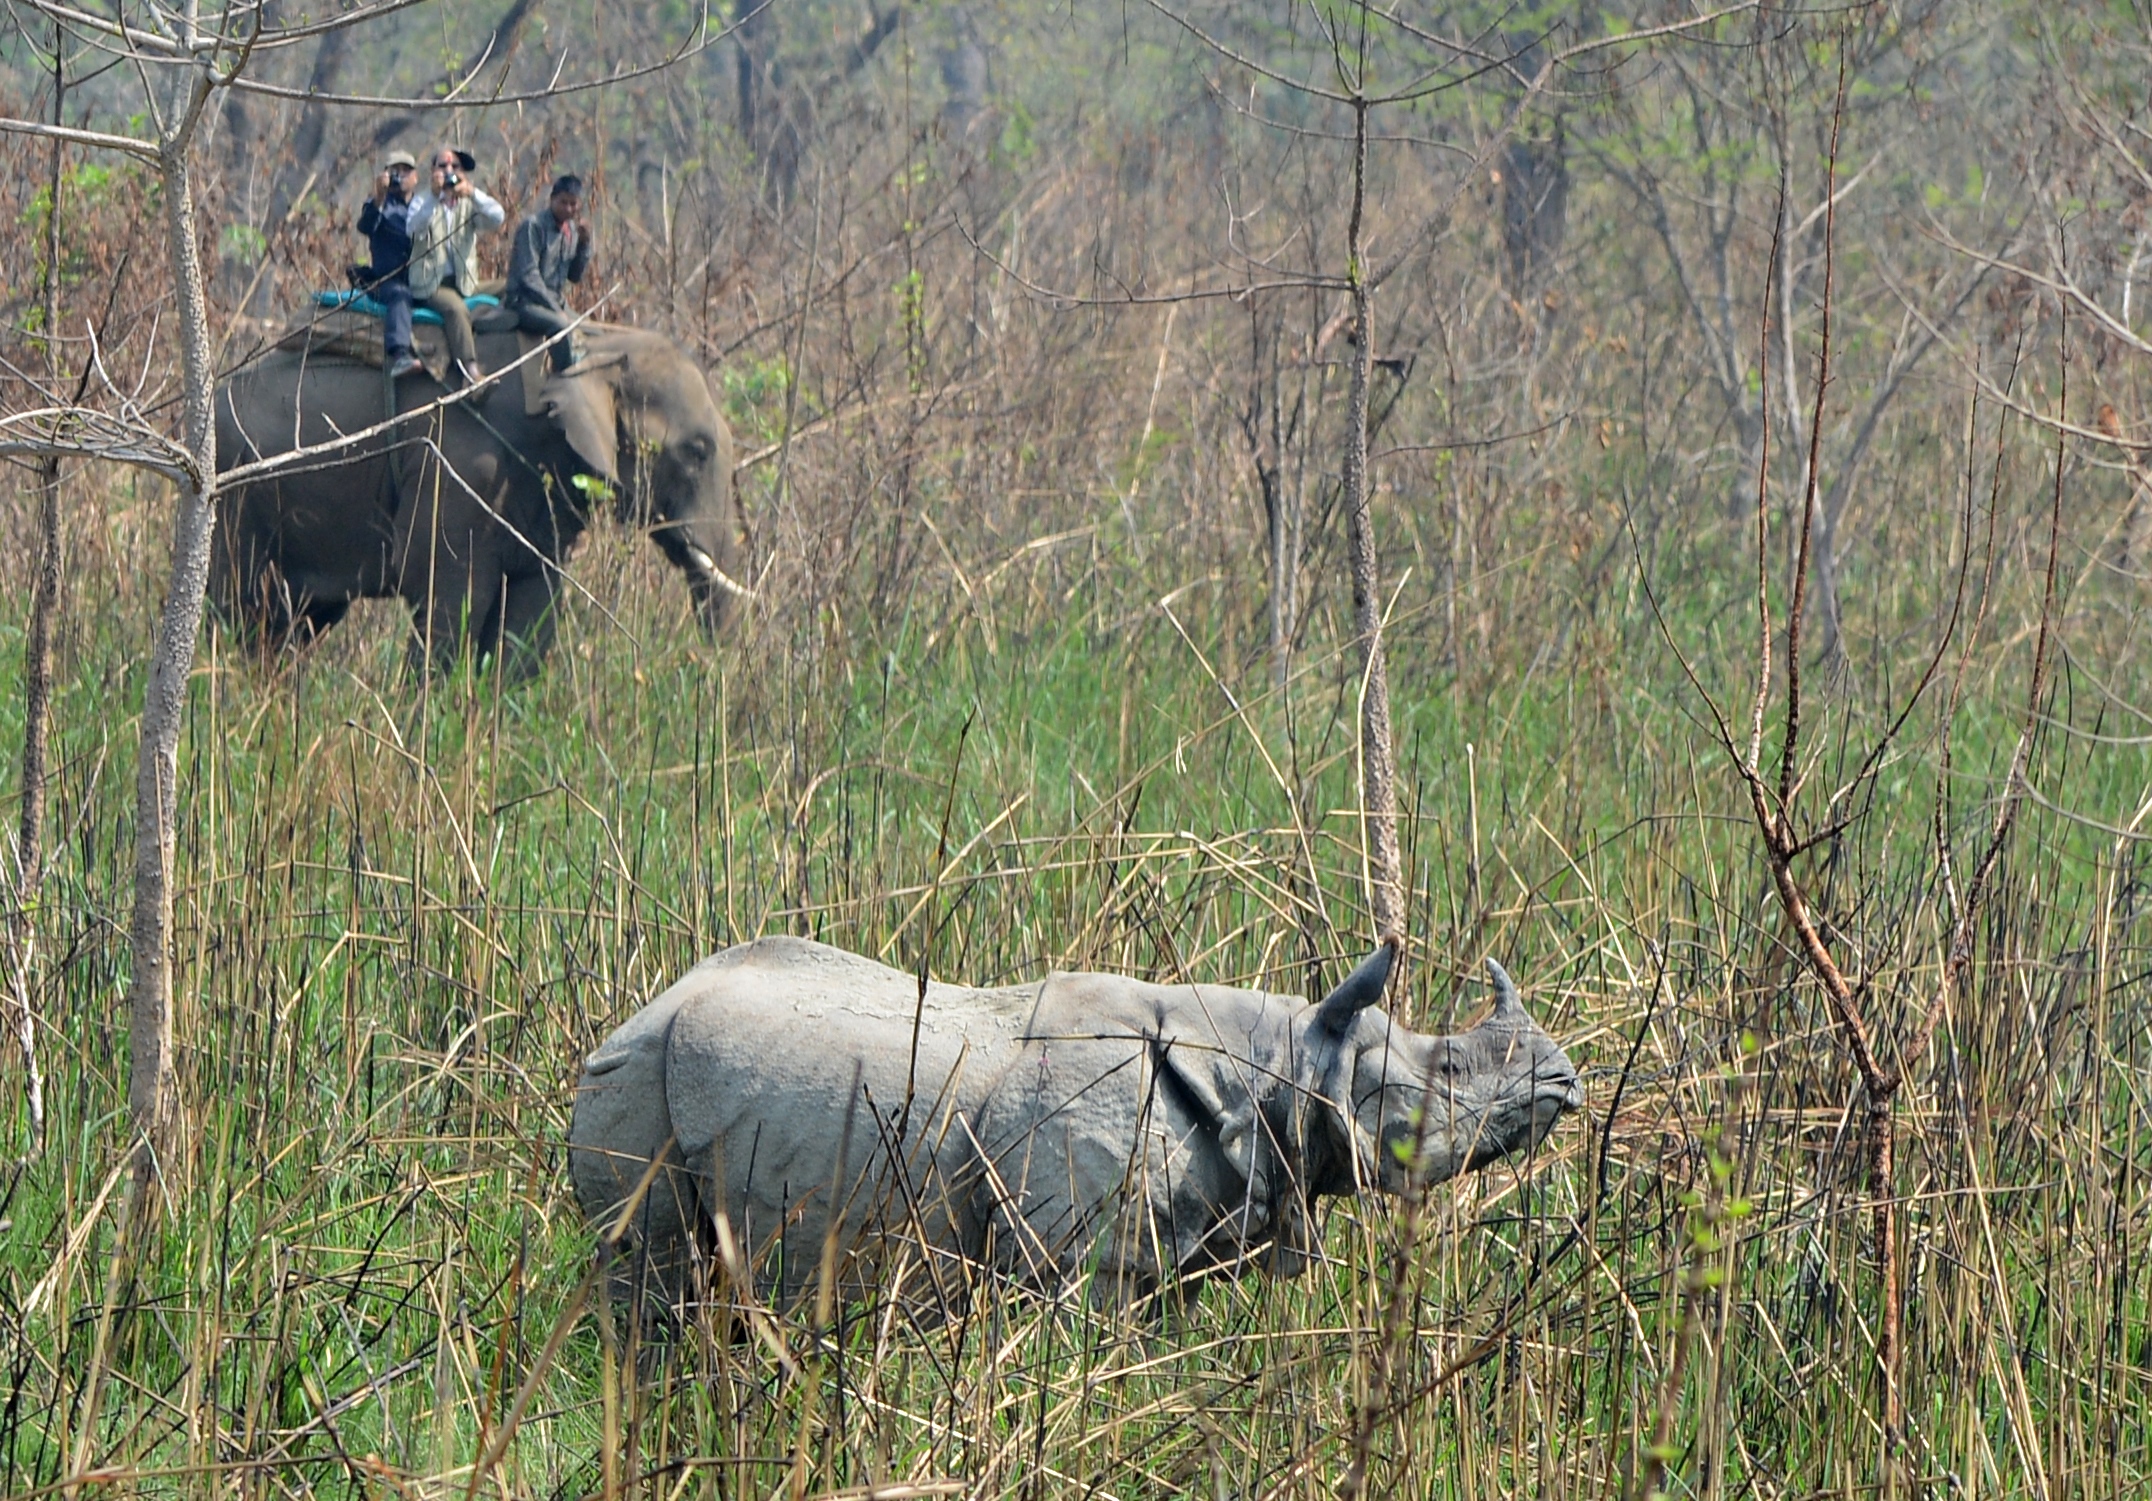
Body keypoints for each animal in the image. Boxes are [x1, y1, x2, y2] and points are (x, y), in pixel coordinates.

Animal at [214, 327, 744, 680]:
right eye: (697, 451)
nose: (710, 668)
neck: (596, 342)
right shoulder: (459, 469)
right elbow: (448, 597)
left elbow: (531, 610)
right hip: (233, 497)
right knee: (242, 610)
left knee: (297, 623)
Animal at [568, 938, 1583, 1309]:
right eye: (1443, 1071)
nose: (1567, 1080)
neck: (1279, 1062)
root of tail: (647, 1006)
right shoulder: (1085, 1256)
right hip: (636, 1076)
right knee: (645, 1281)